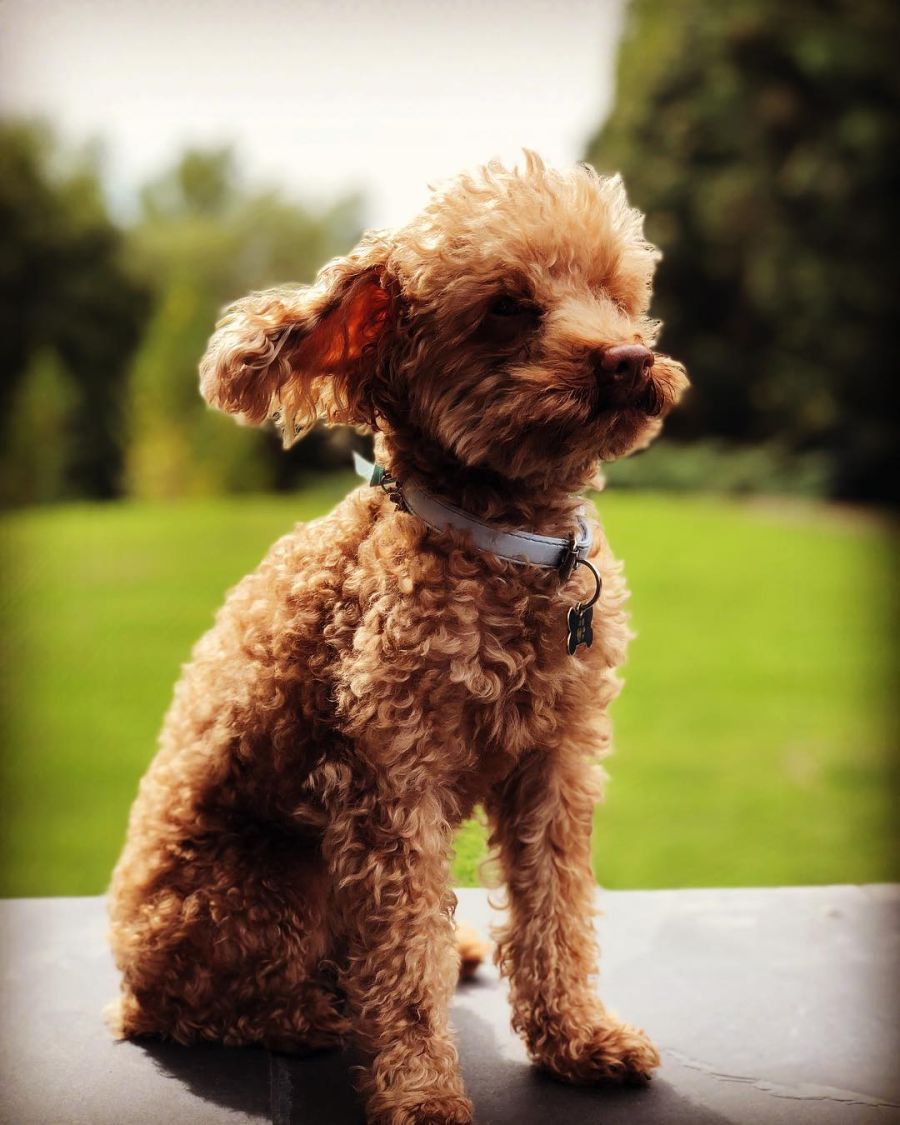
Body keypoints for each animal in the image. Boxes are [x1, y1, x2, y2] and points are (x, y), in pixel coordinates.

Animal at [110, 151, 688, 1125]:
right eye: (508, 307)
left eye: (615, 293)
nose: (629, 357)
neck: (501, 539)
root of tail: (126, 976)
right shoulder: (389, 784)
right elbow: (405, 959)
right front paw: (421, 1094)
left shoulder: (554, 763)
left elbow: (556, 911)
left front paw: (579, 1039)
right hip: (270, 887)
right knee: (213, 1003)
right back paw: (305, 1014)